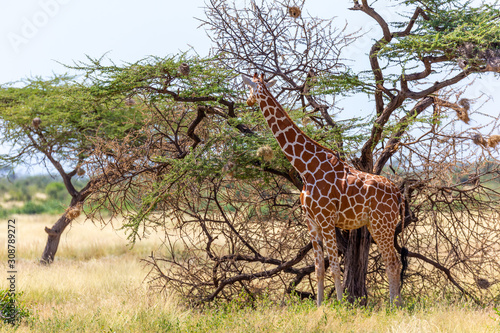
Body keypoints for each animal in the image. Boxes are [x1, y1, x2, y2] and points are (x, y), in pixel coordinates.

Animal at [243, 72, 406, 306]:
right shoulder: (311, 221)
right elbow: (319, 268)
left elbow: (336, 267)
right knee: (391, 260)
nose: (248, 101)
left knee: (393, 261)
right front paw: (320, 307)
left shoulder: (327, 219)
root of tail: (399, 194)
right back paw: (395, 304)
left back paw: (395, 306)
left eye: (250, 88)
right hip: (380, 225)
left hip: (381, 224)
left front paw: (340, 305)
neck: (306, 168)